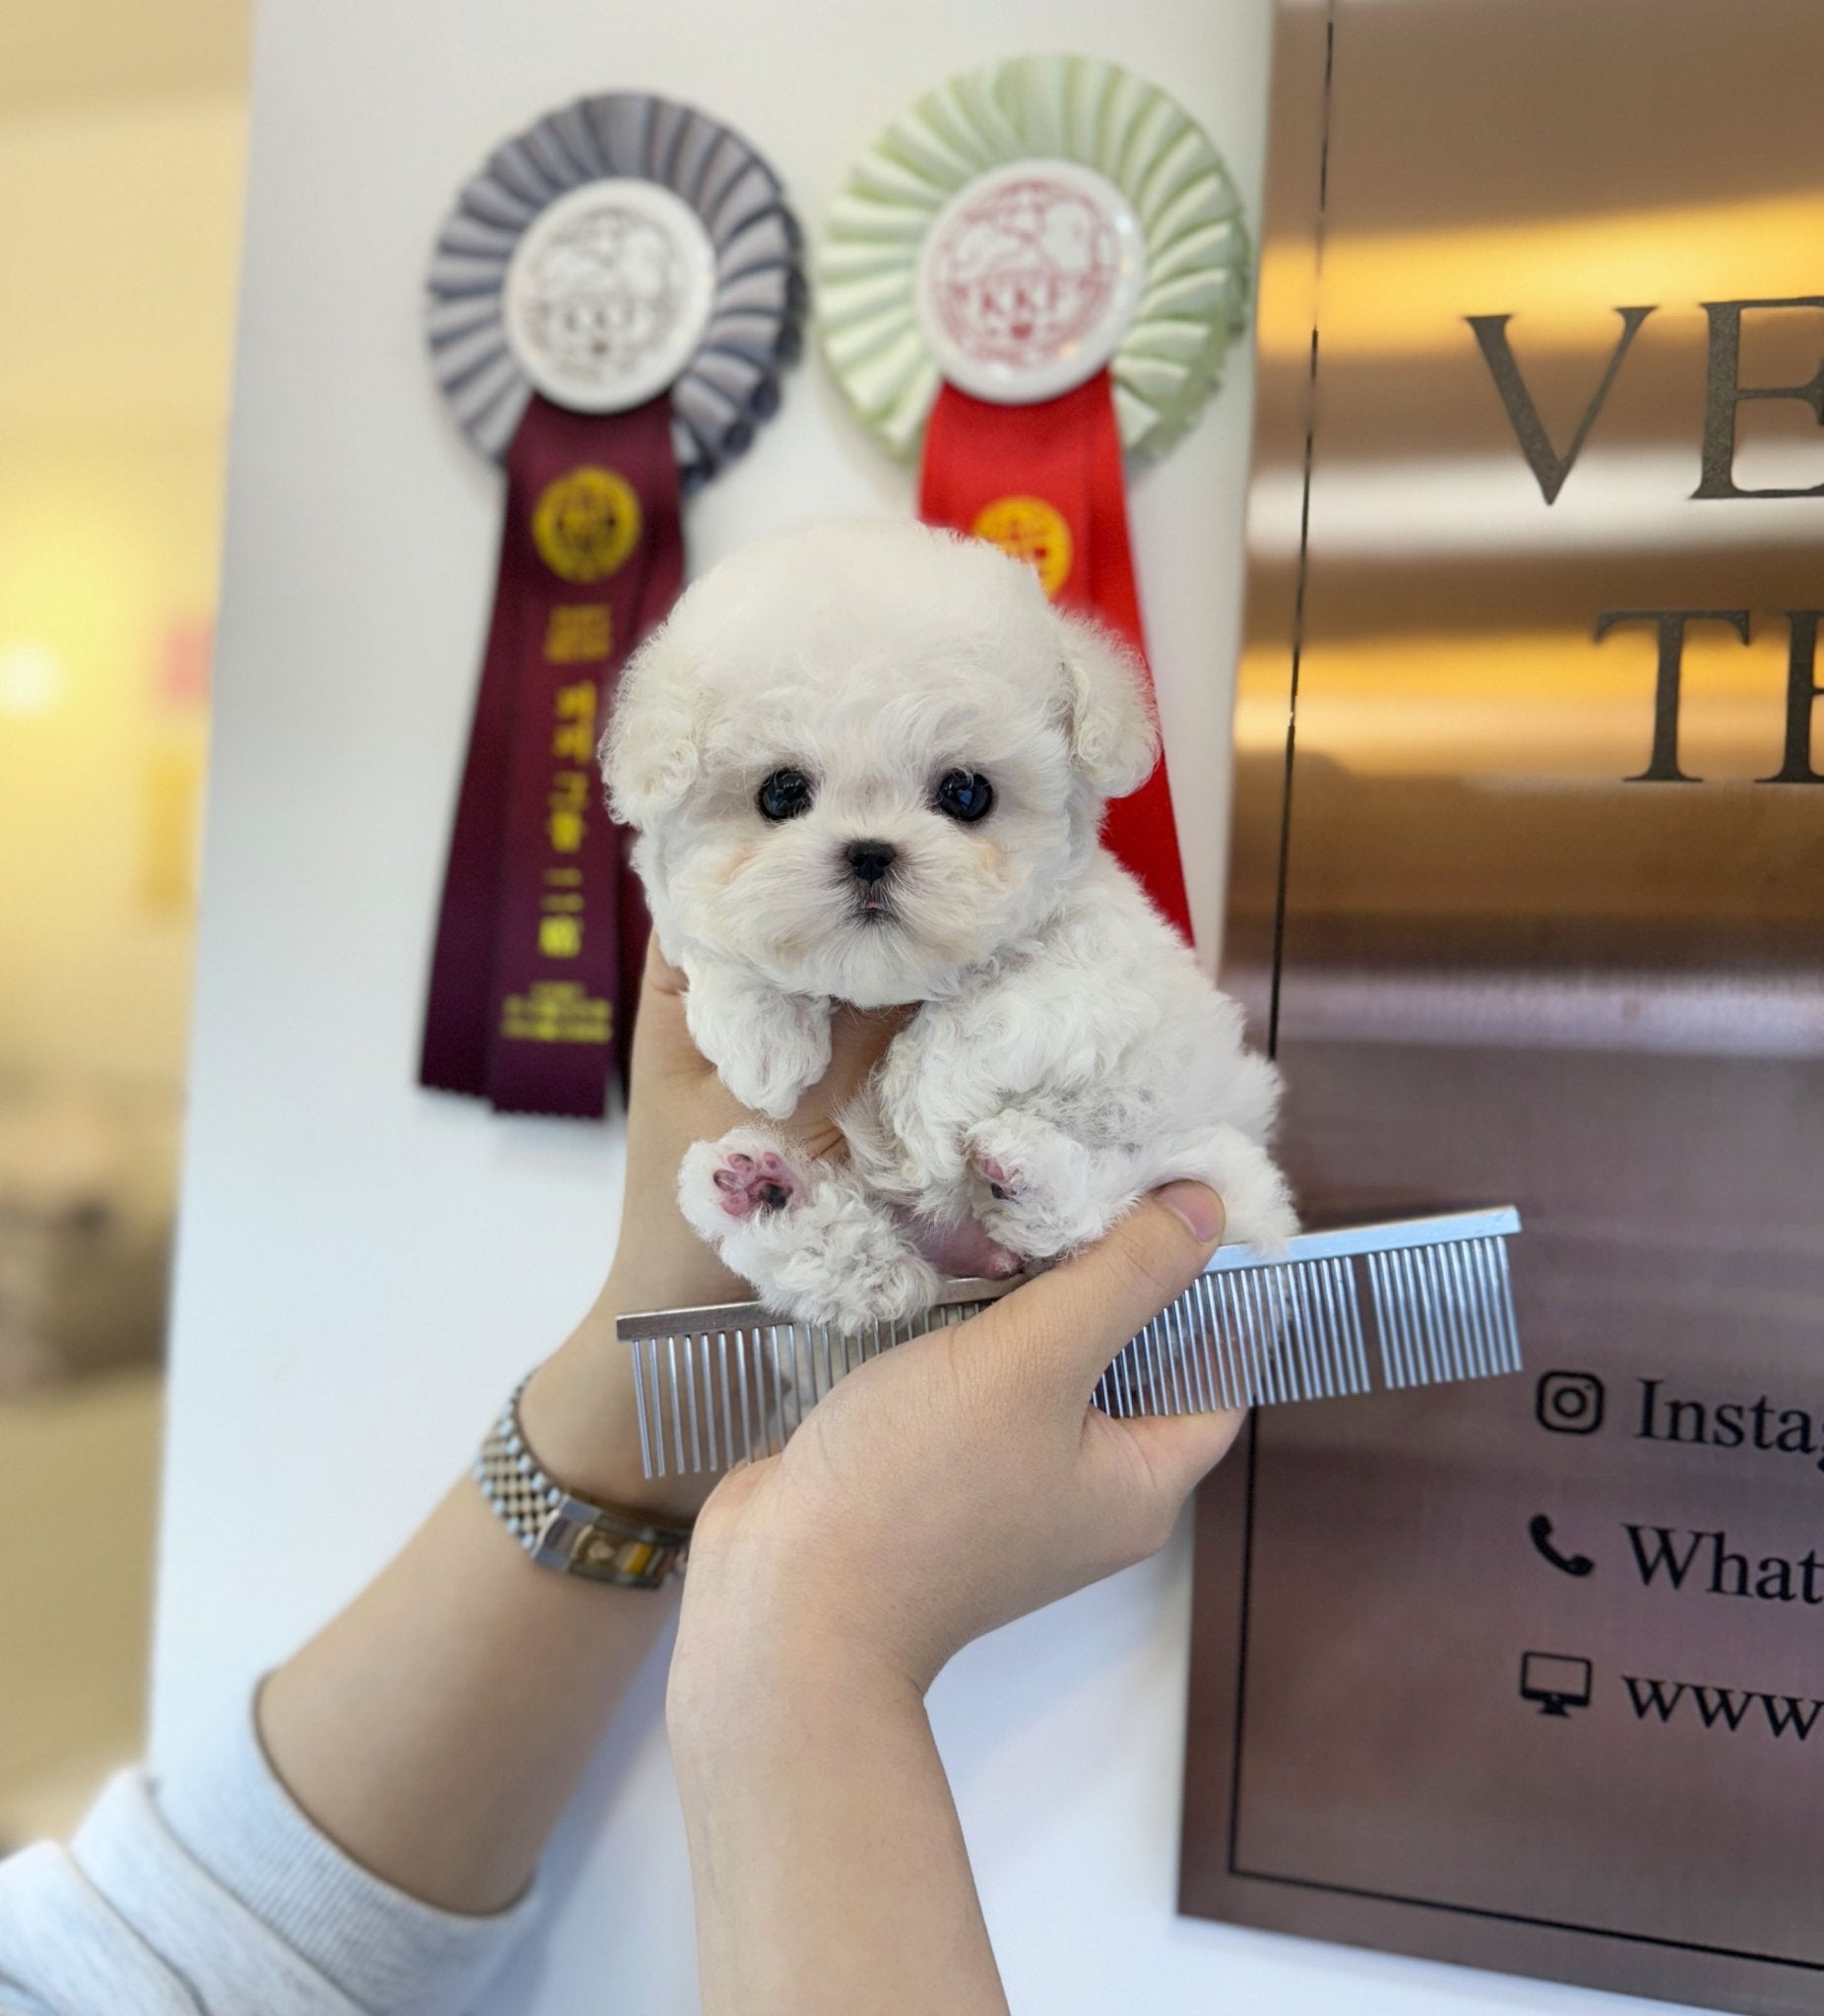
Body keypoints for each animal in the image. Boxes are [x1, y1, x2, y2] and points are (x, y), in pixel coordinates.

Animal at [604, 520, 1289, 1330]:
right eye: (780, 793)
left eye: (966, 793)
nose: (870, 853)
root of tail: (973, 1254)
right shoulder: (678, 909)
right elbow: (713, 941)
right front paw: (762, 1039)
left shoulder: (1104, 964)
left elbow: (991, 1011)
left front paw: (917, 1113)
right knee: (870, 1276)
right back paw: (764, 1195)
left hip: (1210, 1167)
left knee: (1090, 1211)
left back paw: (1024, 1174)